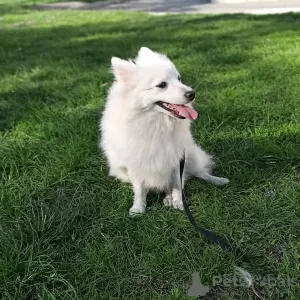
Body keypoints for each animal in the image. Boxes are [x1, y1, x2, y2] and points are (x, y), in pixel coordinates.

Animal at [99, 47, 229, 216]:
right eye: (162, 85)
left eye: (179, 78)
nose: (192, 93)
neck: (156, 125)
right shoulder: (136, 164)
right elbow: (140, 189)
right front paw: (138, 208)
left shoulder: (176, 159)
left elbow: (178, 186)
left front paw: (179, 204)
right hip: (120, 169)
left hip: (192, 156)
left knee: (199, 173)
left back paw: (217, 180)